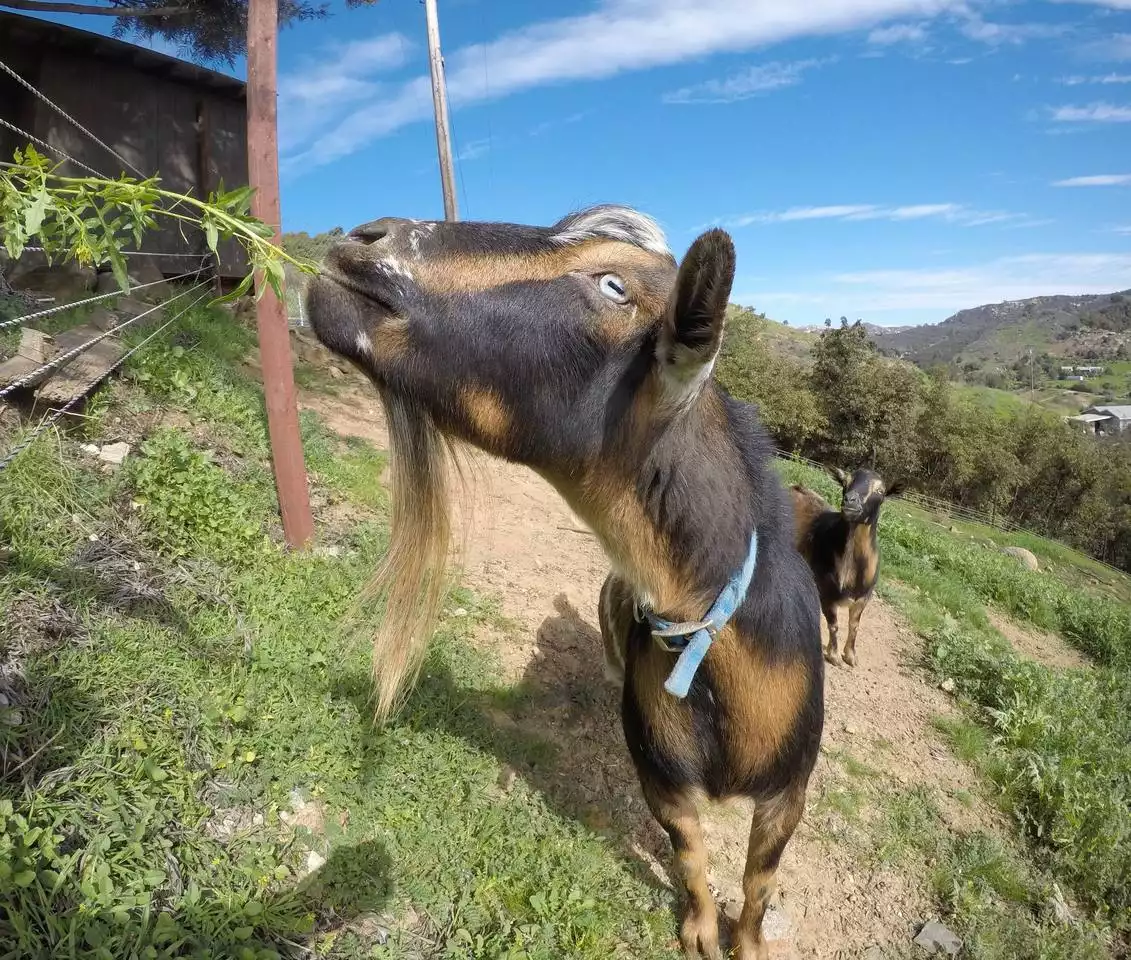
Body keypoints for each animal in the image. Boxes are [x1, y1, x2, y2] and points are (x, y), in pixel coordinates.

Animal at [305, 205, 827, 954]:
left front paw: (747, 941)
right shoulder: (659, 772)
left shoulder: (791, 787)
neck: (711, 641)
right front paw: (700, 929)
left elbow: (760, 878)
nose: (365, 236)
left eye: (611, 285)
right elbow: (689, 851)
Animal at [791, 465, 904, 664]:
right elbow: (834, 625)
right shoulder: (826, 593)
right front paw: (834, 655)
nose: (850, 501)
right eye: (845, 482)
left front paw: (851, 656)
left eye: (880, 491)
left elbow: (855, 625)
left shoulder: (863, 597)